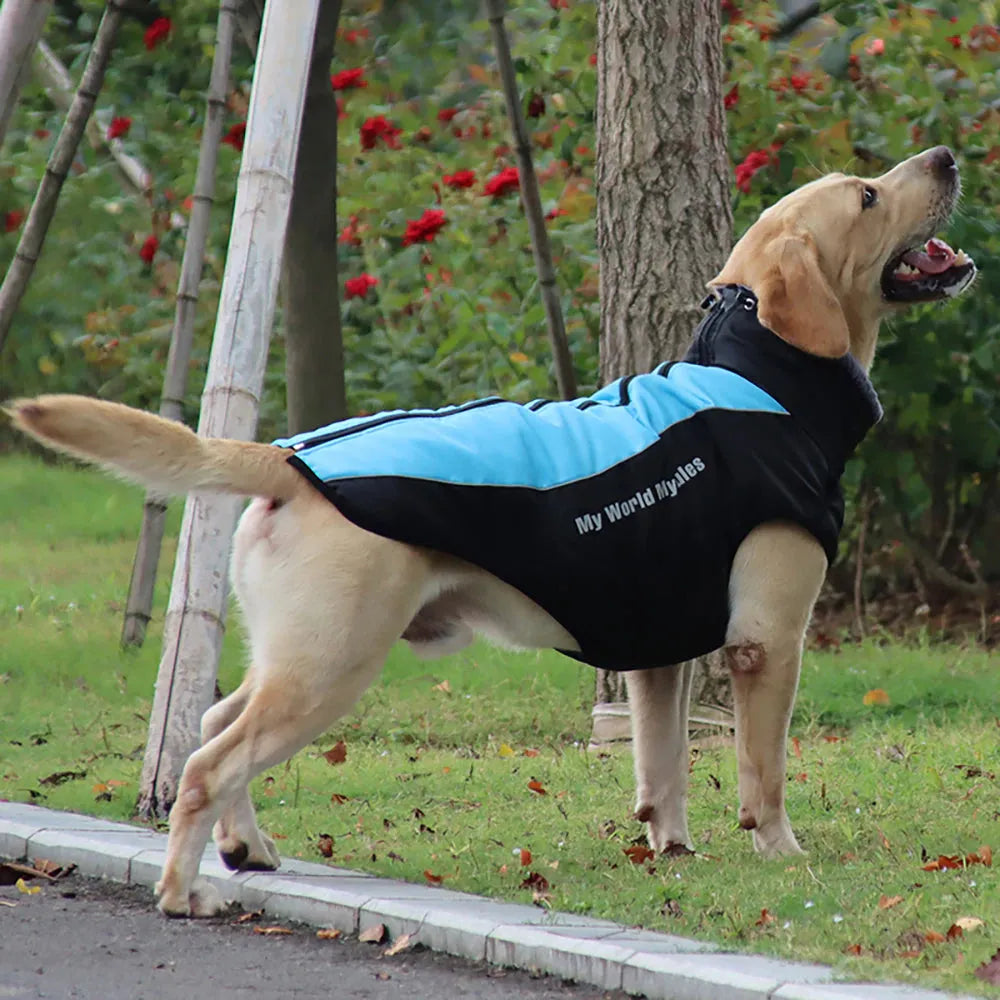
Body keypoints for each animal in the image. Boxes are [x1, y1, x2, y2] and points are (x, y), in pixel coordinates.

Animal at [5, 145, 976, 916]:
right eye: (867, 196)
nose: (945, 155)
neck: (759, 373)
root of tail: (286, 456)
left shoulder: (660, 654)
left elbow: (660, 768)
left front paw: (672, 850)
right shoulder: (765, 641)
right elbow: (762, 770)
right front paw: (779, 851)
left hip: (297, 652)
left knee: (213, 722)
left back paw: (247, 847)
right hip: (332, 661)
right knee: (211, 761)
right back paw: (182, 892)